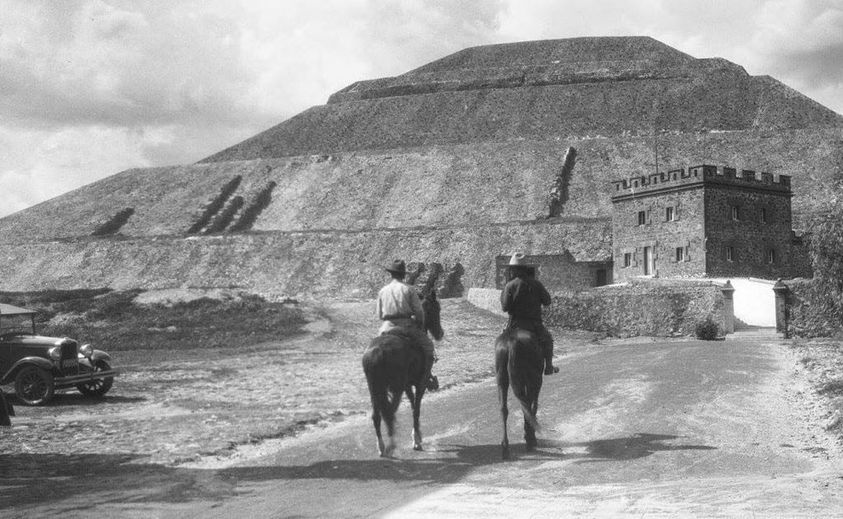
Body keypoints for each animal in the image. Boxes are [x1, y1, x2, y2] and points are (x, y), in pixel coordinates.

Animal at [362, 290, 446, 458]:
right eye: (437, 309)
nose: (440, 333)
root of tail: (377, 351)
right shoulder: (420, 384)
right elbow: (416, 409)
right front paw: (417, 441)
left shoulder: (407, 386)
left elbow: (413, 405)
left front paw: (417, 435)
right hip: (396, 388)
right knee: (390, 412)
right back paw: (391, 445)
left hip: (375, 390)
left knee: (377, 416)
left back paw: (381, 447)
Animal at [498, 330, 544, 460]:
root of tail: (511, 342)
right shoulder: (535, 381)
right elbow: (533, 406)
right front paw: (530, 436)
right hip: (531, 379)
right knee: (527, 406)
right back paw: (529, 440)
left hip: (502, 378)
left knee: (504, 410)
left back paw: (505, 448)